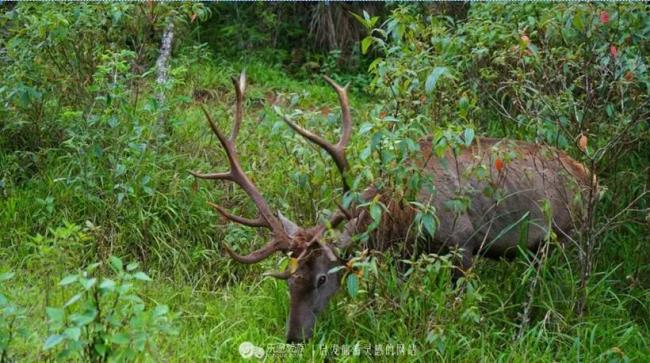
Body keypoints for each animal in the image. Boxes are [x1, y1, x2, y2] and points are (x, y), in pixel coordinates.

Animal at [189, 72, 592, 344]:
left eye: (321, 278)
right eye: (288, 278)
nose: (294, 337)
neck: (403, 216)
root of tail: (590, 177)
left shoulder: (463, 243)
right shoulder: (407, 255)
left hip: (565, 235)